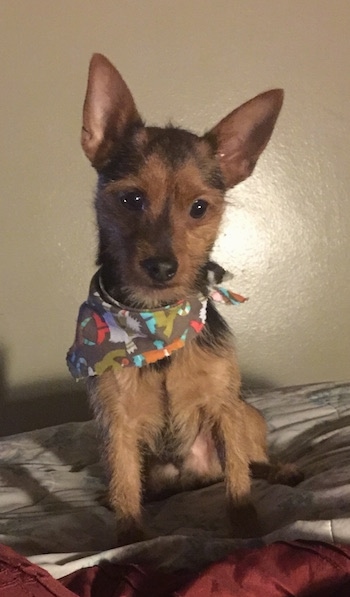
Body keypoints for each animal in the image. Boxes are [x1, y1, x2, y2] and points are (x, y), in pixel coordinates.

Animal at [67, 56, 300, 544]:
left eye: (199, 208)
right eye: (131, 198)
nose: (161, 266)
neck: (155, 322)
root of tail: (194, 478)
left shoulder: (223, 407)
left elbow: (238, 481)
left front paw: (247, 529)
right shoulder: (116, 424)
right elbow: (126, 487)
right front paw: (130, 540)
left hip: (247, 412)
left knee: (251, 461)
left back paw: (280, 469)